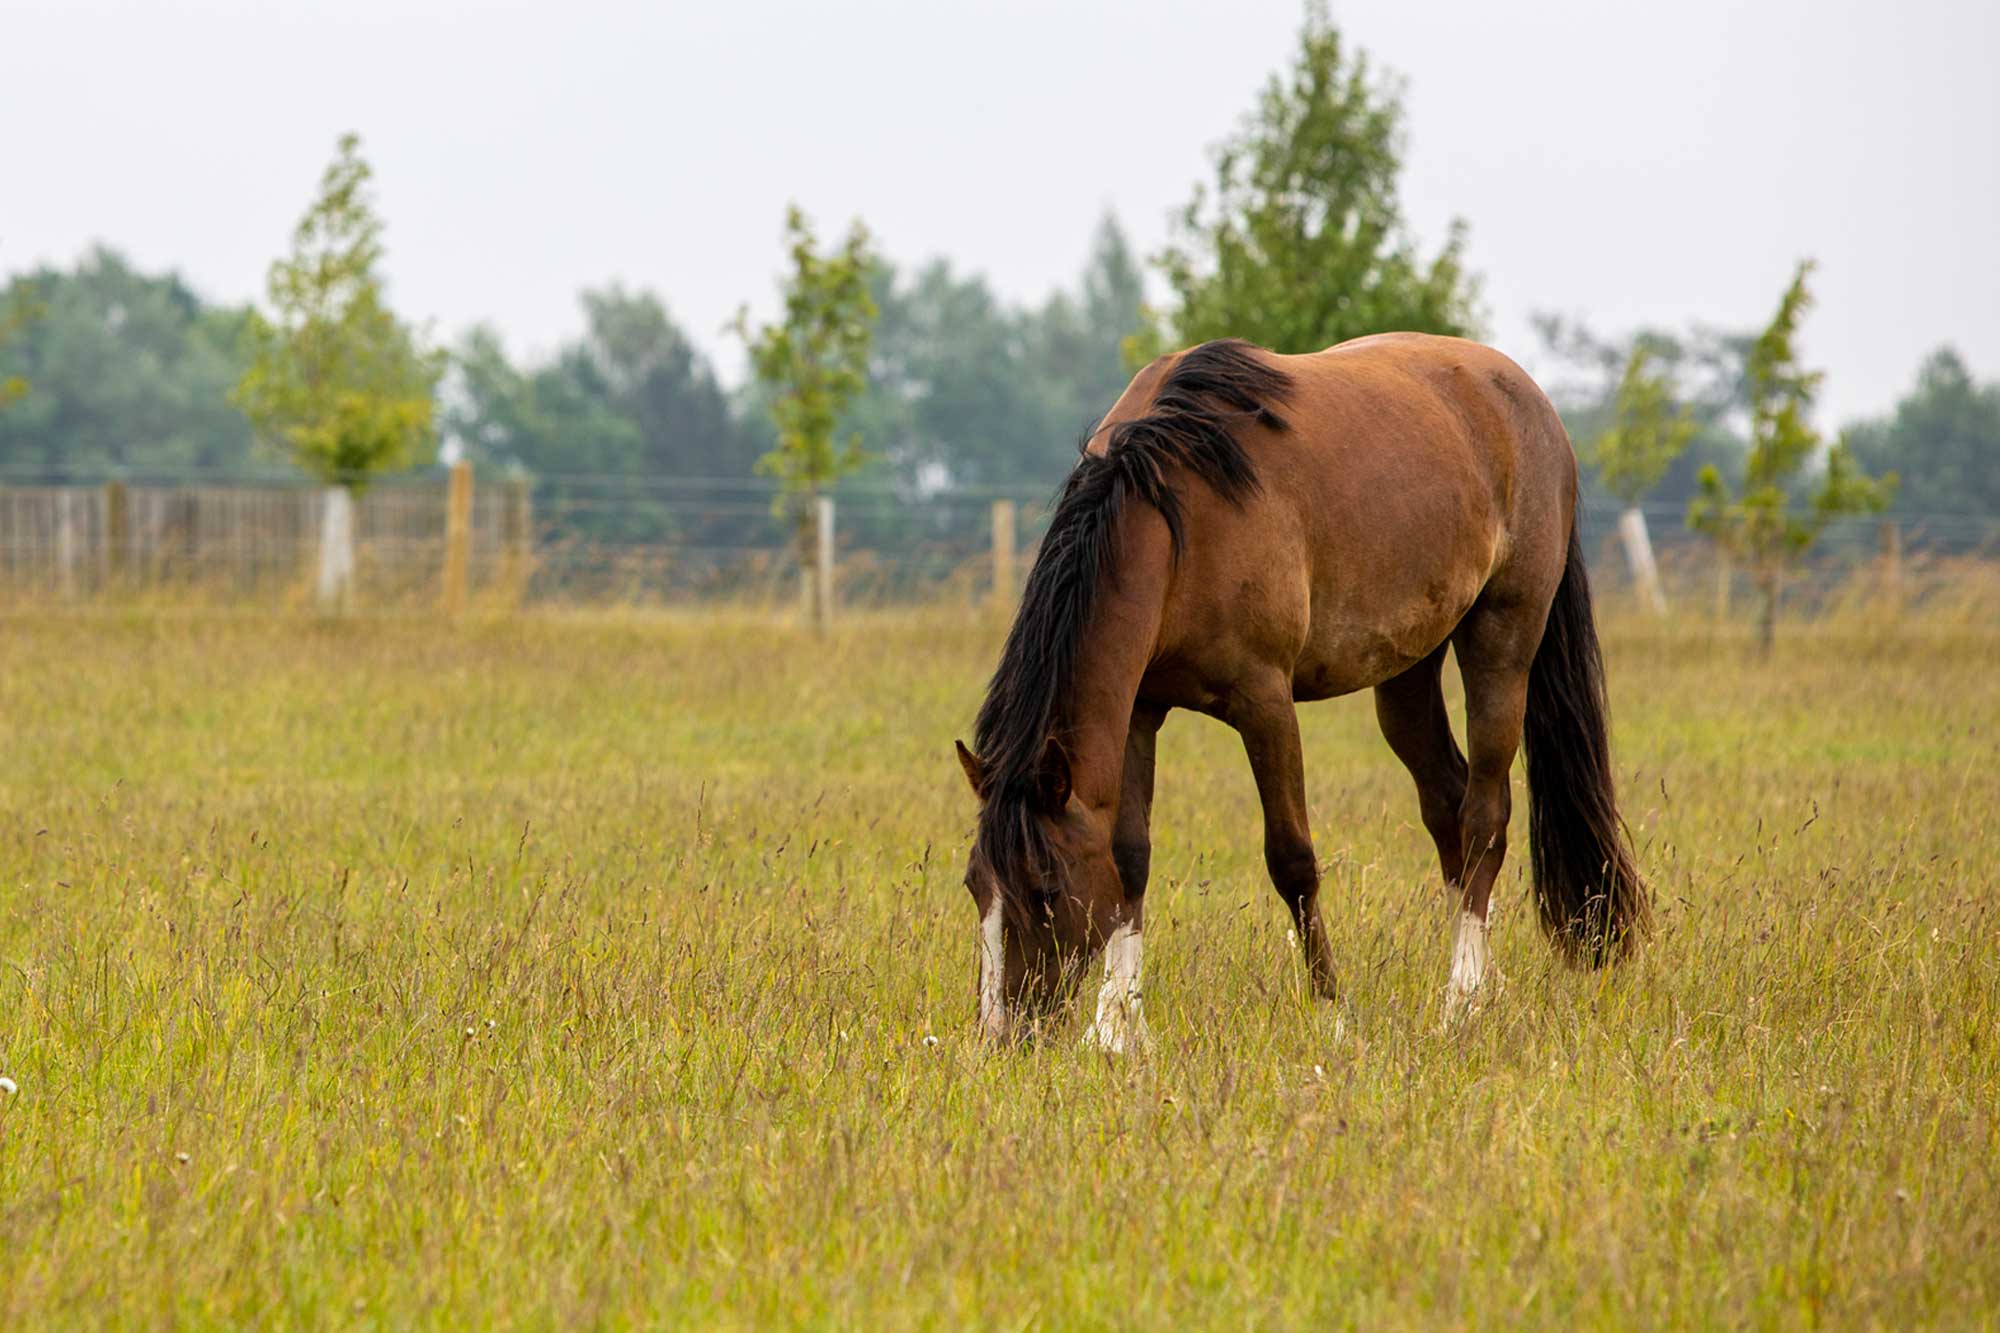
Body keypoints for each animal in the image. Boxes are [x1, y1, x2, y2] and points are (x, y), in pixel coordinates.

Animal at [960, 332, 1648, 1048]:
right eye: (976, 886)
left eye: (1044, 889)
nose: (998, 1035)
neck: (1176, 514)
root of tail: (1531, 401)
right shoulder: (1139, 711)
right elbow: (1129, 858)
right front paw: (1119, 1026)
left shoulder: (1264, 703)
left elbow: (1291, 860)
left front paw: (1332, 1016)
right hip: (1406, 673)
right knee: (1448, 806)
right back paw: (1485, 981)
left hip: (1503, 640)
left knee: (1485, 814)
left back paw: (1462, 998)